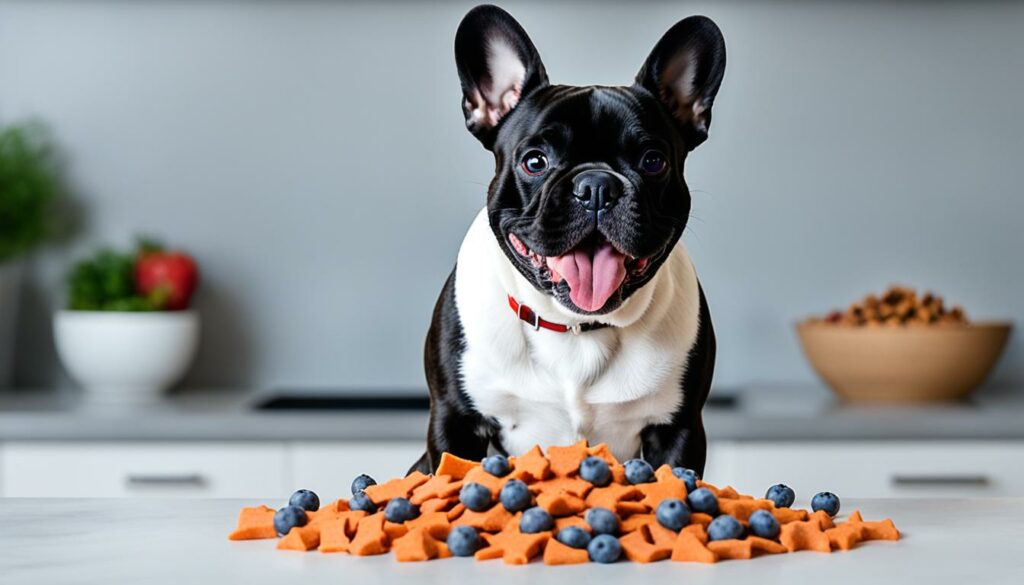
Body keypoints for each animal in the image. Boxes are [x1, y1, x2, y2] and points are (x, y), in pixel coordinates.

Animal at [411, 4, 724, 477]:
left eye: (653, 161)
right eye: (535, 162)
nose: (596, 185)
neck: (577, 330)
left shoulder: (679, 429)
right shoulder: (454, 420)